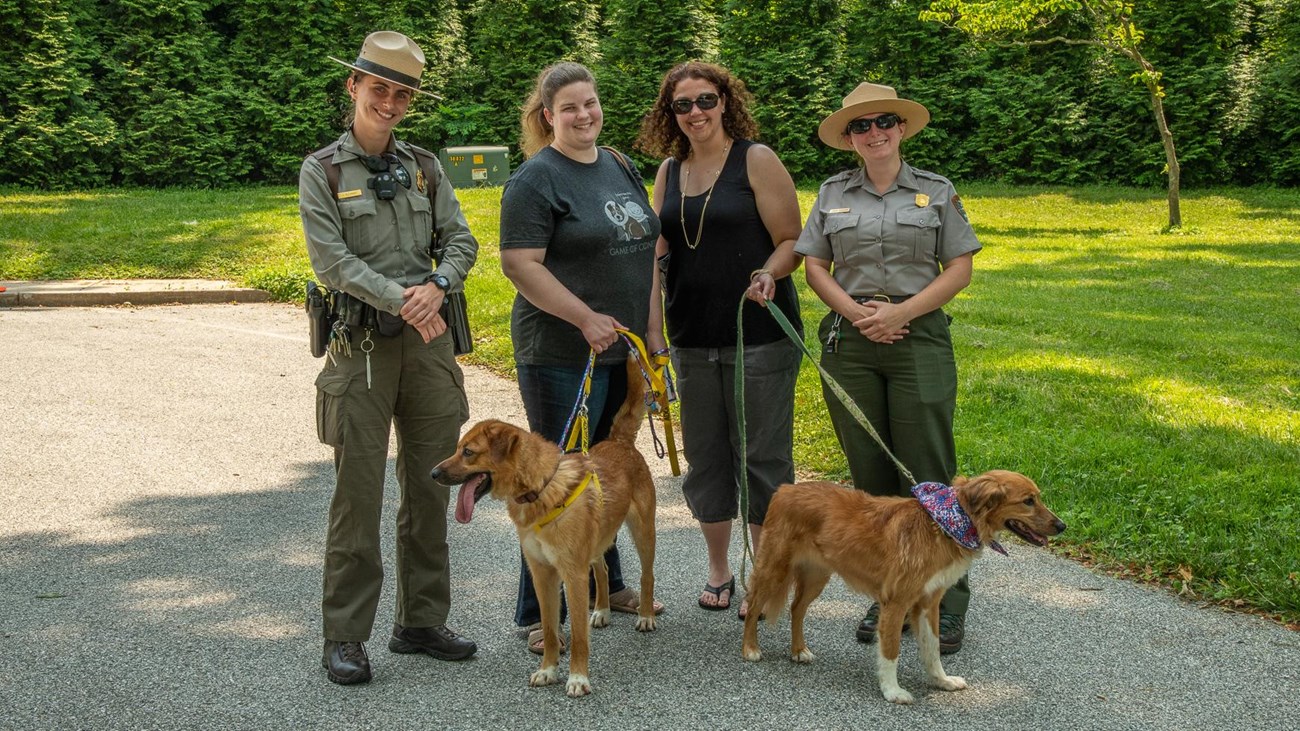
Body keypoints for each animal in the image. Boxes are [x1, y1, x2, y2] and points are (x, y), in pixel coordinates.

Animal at [431, 356, 655, 697]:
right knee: (603, 569)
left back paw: (645, 615)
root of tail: (619, 442)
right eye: (458, 449)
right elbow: (550, 629)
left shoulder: (573, 575)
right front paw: (548, 670)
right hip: (597, 542)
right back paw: (602, 610)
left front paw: (578, 678)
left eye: (468, 452)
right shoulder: (542, 574)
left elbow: (578, 635)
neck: (539, 490)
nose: (433, 473)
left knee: (646, 576)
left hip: (643, 532)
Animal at [743, 468, 1066, 702]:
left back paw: (798, 650)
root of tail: (786, 489)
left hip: (816, 576)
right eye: (1028, 501)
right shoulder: (896, 603)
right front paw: (892, 691)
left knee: (797, 608)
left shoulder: (929, 603)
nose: (1062, 526)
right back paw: (750, 648)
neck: (947, 524)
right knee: (755, 605)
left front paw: (941, 681)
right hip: (774, 569)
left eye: (1037, 498)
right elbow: (891, 651)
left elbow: (932, 649)